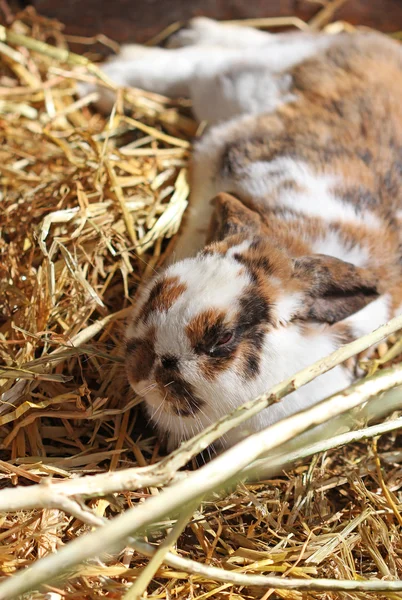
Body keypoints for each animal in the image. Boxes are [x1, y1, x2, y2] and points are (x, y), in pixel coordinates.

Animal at [85, 17, 402, 450]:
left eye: (223, 340)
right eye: (156, 294)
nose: (139, 371)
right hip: (231, 83)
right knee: (187, 64)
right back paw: (99, 82)